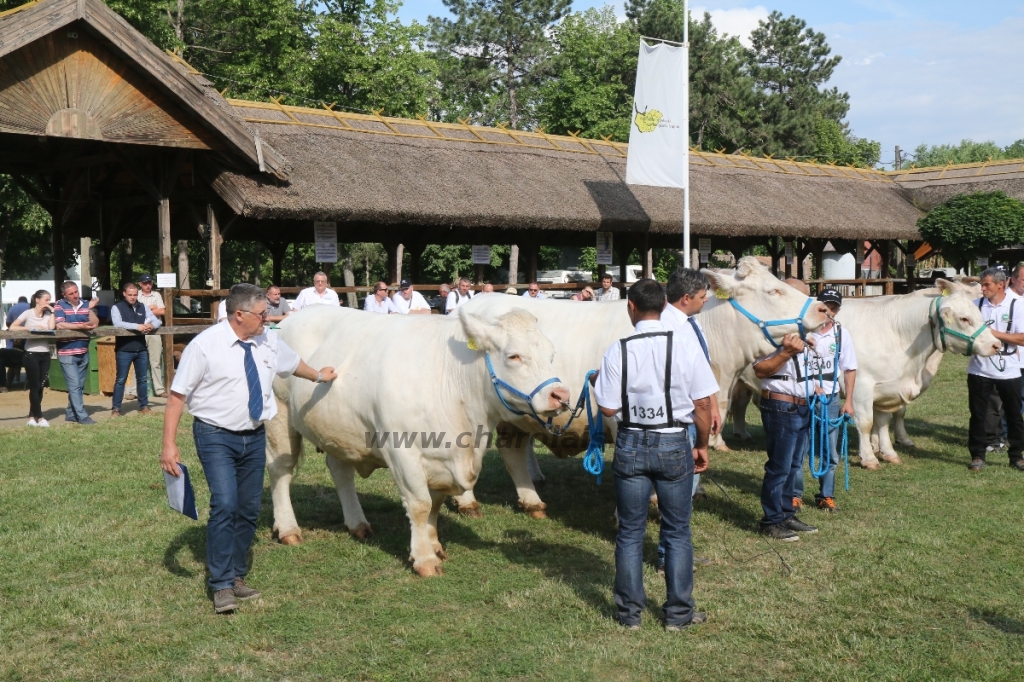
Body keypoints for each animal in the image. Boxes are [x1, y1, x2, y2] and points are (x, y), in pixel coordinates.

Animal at [264, 303, 573, 573]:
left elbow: (435, 504)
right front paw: (424, 559)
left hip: (338, 428)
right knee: (281, 470)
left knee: (341, 471)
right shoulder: (402, 450)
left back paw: (357, 523)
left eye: (552, 354)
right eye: (514, 356)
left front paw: (434, 545)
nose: (561, 395)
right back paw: (288, 529)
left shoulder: (443, 460)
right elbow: (420, 505)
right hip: (279, 413)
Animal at [729, 280, 999, 466]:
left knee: (739, 404)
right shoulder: (862, 385)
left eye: (979, 313)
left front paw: (889, 452)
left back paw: (742, 434)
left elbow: (884, 421)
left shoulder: (886, 387)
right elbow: (867, 422)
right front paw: (869, 457)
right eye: (964, 319)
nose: (996, 345)